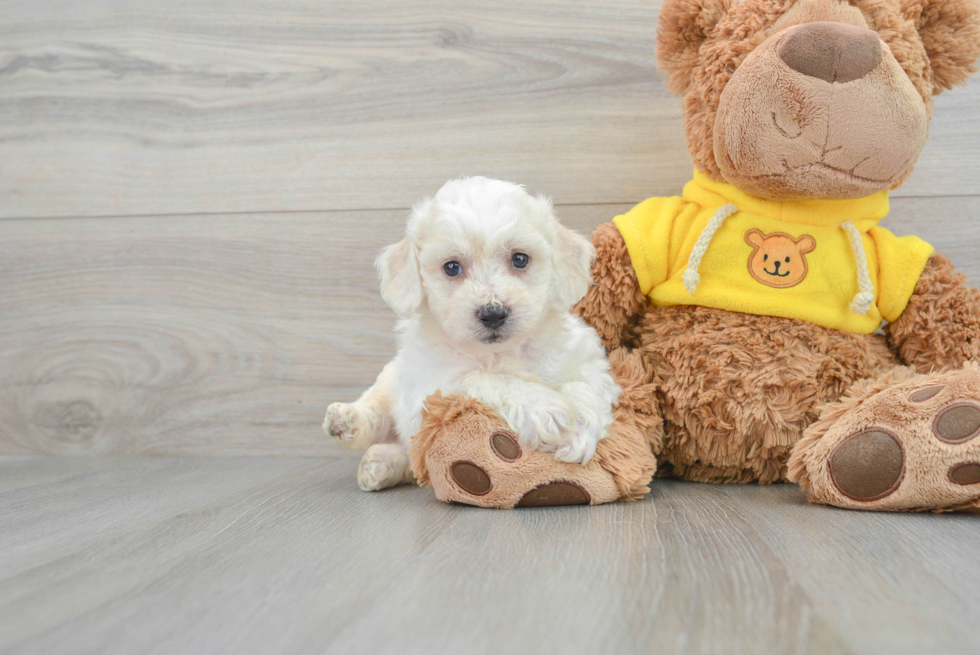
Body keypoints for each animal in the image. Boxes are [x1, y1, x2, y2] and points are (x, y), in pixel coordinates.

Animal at [328, 177, 620, 490]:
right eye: (451, 267)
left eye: (520, 259)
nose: (493, 313)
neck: (498, 352)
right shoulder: (430, 388)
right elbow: (481, 378)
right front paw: (544, 409)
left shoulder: (586, 361)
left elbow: (585, 385)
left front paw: (578, 432)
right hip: (391, 379)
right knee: (378, 412)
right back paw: (348, 424)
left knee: (409, 457)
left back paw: (380, 463)